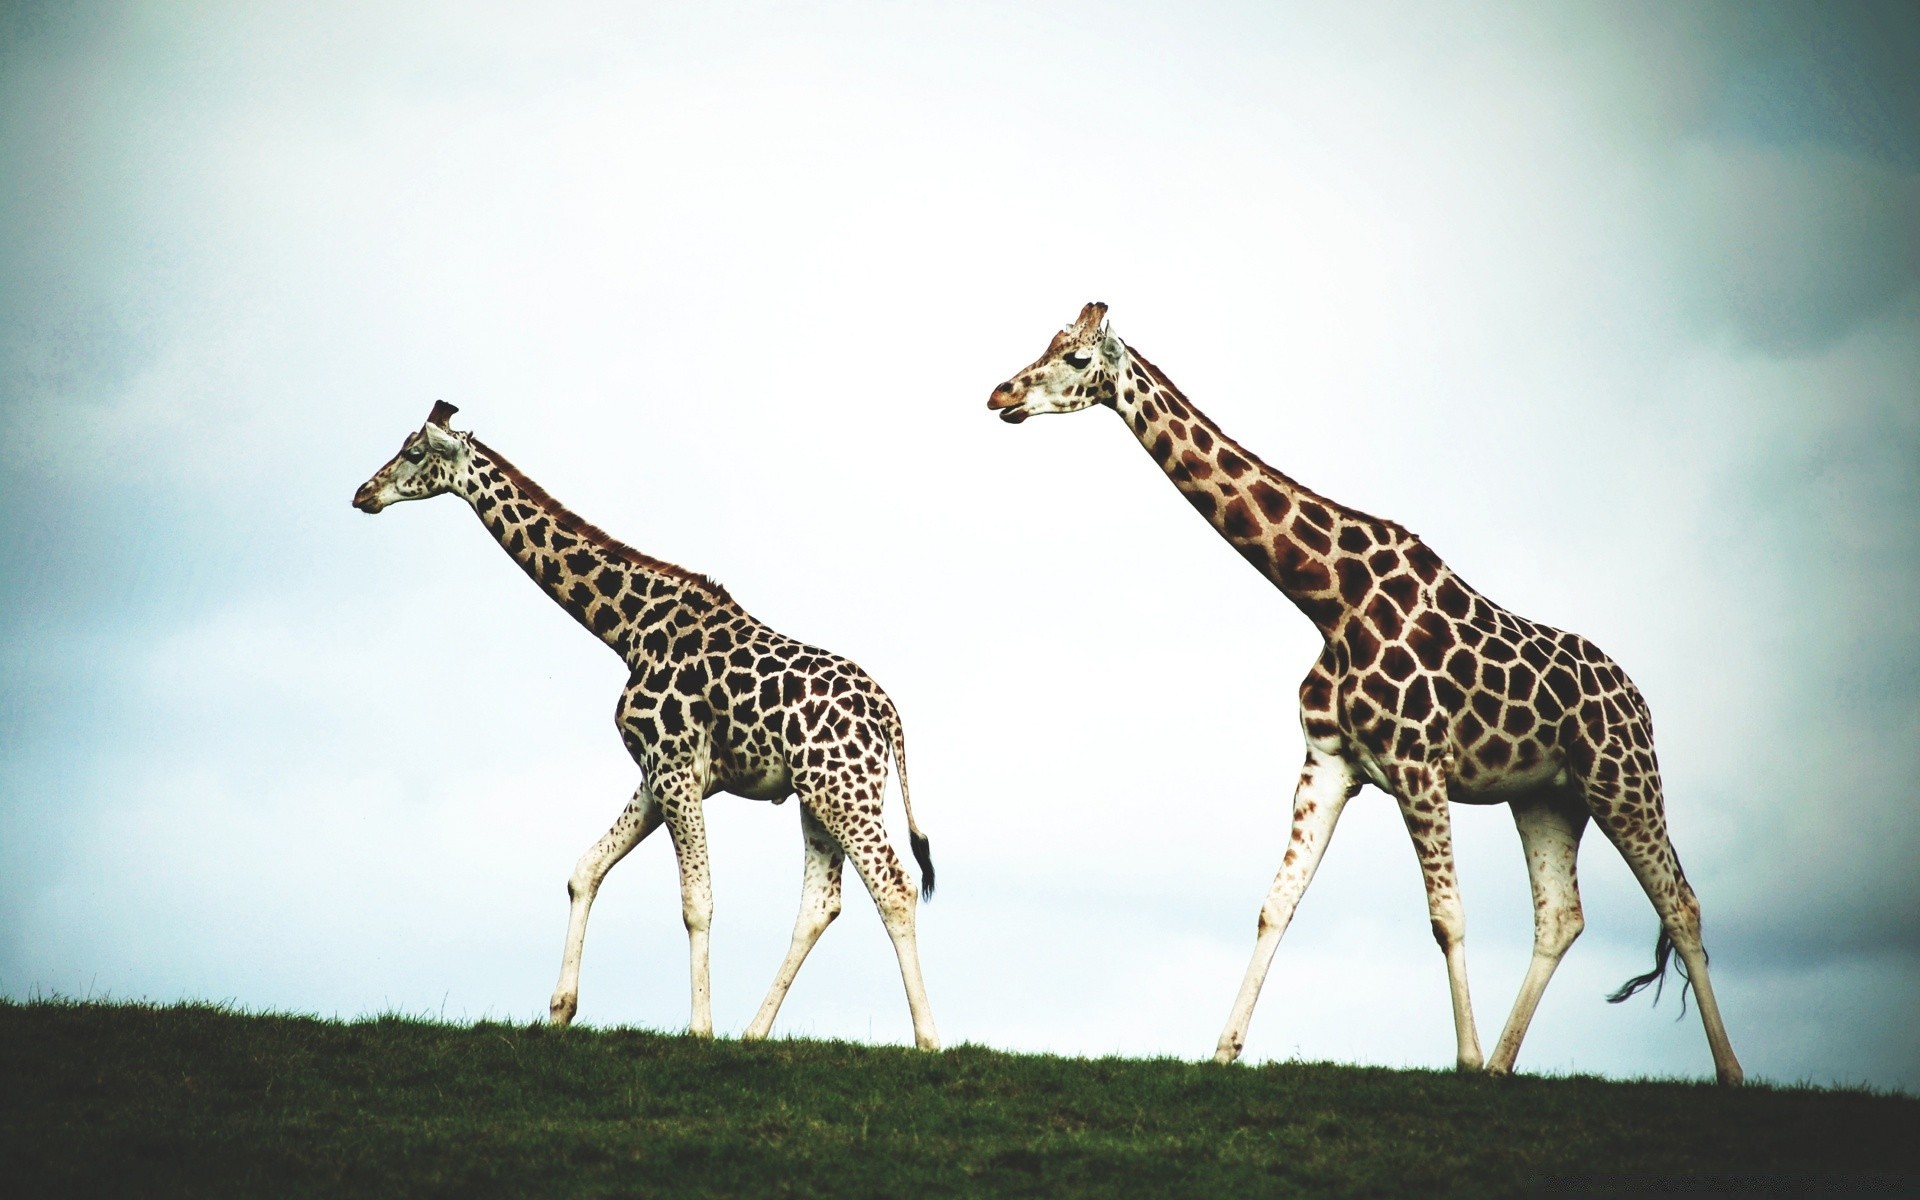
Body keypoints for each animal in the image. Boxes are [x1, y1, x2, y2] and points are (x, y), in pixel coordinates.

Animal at [355, 397, 944, 1044]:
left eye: (414, 453)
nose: (363, 494)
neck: (628, 630)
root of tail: (888, 714)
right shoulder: (658, 772)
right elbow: (585, 868)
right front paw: (560, 1010)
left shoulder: (676, 768)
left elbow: (696, 902)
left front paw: (699, 1029)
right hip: (818, 795)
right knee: (820, 905)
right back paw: (754, 1033)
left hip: (843, 792)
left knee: (893, 886)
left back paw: (927, 1040)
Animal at [990, 303, 1743, 1082]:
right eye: (1049, 343)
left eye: (1077, 359)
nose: (1000, 395)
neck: (1331, 598)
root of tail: (1640, 702)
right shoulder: (1329, 760)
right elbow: (1277, 902)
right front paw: (1224, 1048)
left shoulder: (1419, 763)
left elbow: (1446, 915)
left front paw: (1463, 1058)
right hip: (1548, 796)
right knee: (1561, 914)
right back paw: (1506, 1066)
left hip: (1622, 779)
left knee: (1681, 903)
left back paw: (1727, 1073)